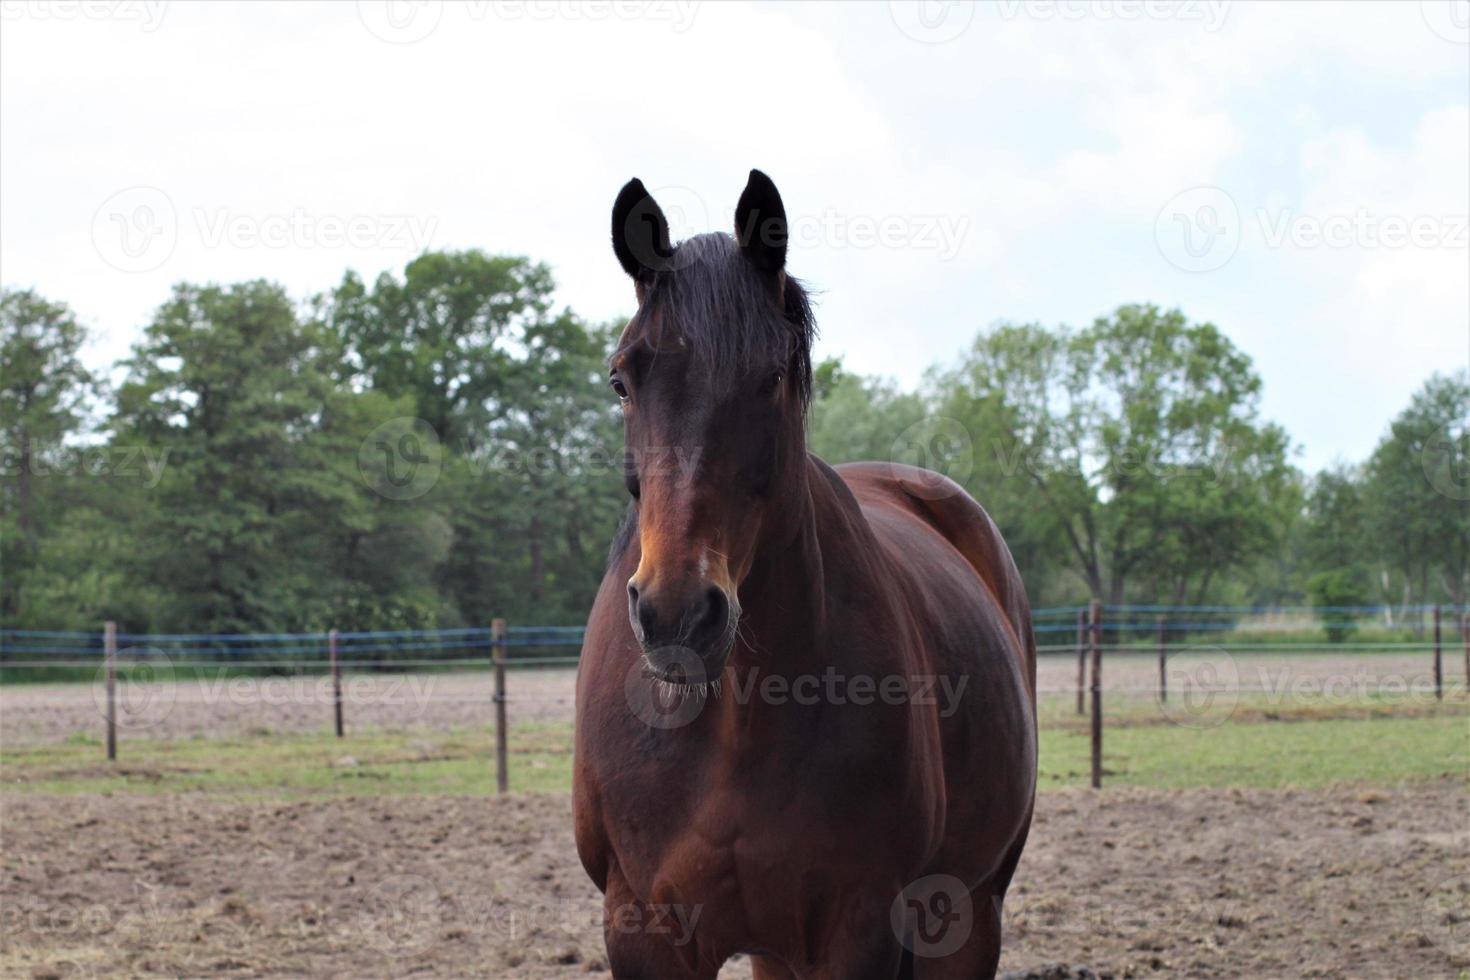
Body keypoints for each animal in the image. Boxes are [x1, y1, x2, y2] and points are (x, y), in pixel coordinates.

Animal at [573, 172, 1034, 975]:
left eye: (772, 378)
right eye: (621, 381)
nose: (676, 613)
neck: (733, 716)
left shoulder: (860, 926)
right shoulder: (640, 927)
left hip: (971, 910)